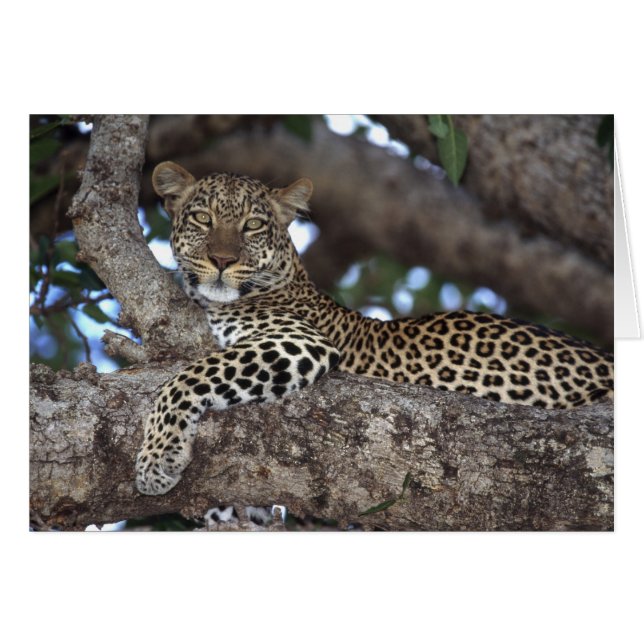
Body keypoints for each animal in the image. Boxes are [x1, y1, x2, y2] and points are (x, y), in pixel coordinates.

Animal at [135, 161, 614, 496]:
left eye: (252, 225)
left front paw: (156, 461)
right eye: (202, 219)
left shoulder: (299, 341)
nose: (221, 261)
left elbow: (186, 378)